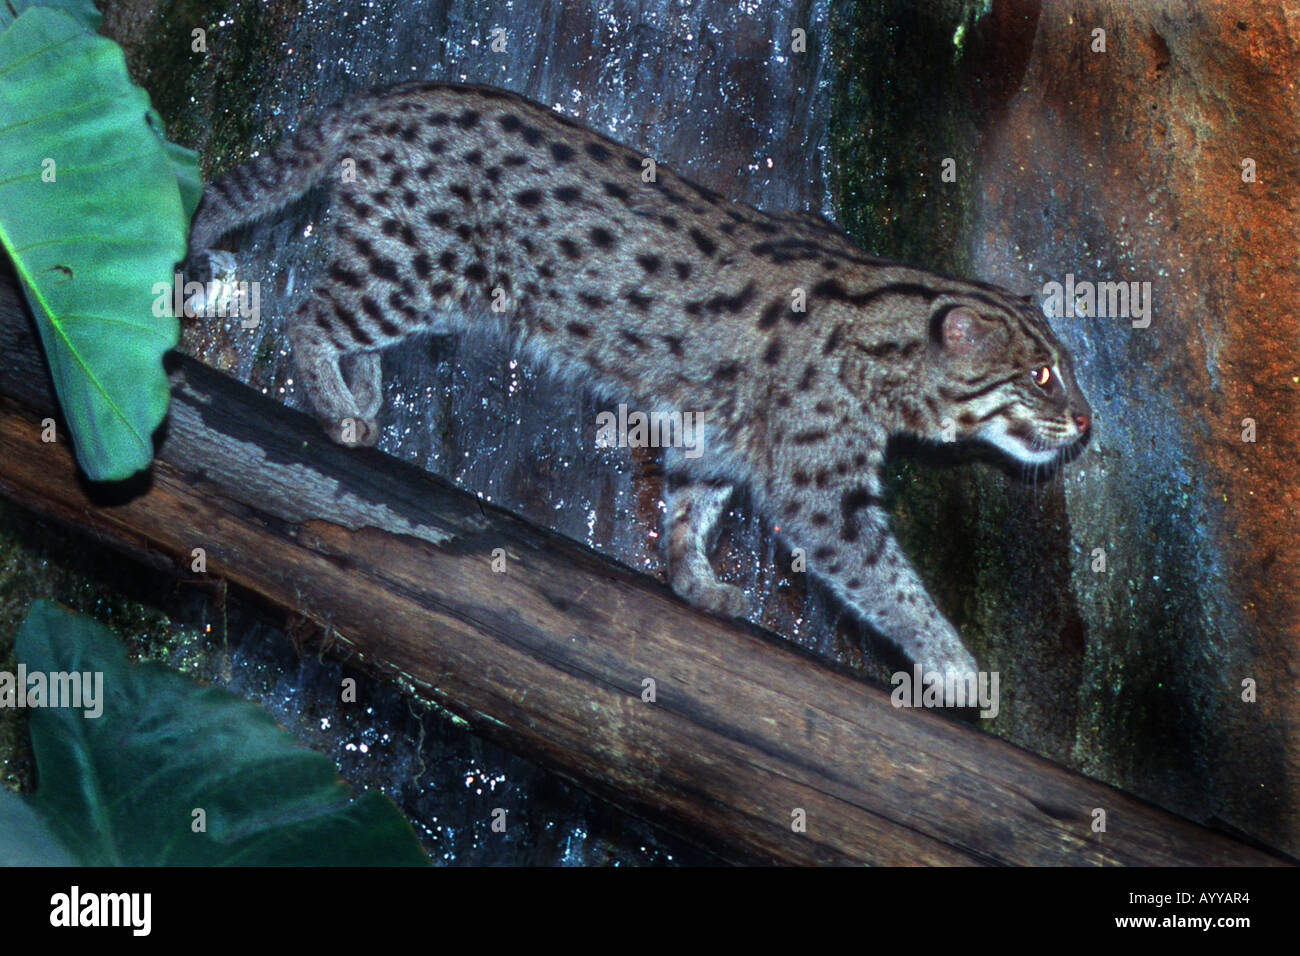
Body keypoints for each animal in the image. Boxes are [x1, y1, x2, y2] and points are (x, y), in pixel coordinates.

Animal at [188, 82, 1092, 702]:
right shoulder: (820, 489)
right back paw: (337, 406)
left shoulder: (716, 435)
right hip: (413, 267)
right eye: (1042, 375)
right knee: (308, 311)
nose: (1087, 419)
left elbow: (690, 508)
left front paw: (696, 582)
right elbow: (887, 577)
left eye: (1066, 371)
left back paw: (364, 393)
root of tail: (383, 94)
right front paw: (955, 663)